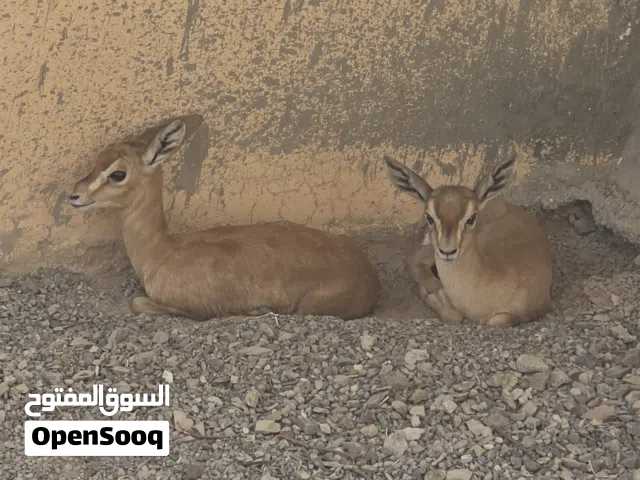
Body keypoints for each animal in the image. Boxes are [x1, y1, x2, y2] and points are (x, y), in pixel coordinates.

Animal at [68, 114, 380, 321]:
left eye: (118, 173)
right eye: (98, 158)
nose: (74, 195)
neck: (161, 252)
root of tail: (369, 276)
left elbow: (139, 303)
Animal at [384, 153, 553, 327]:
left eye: (472, 217)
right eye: (429, 217)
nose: (448, 251)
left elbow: (497, 320)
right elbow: (454, 315)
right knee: (414, 259)